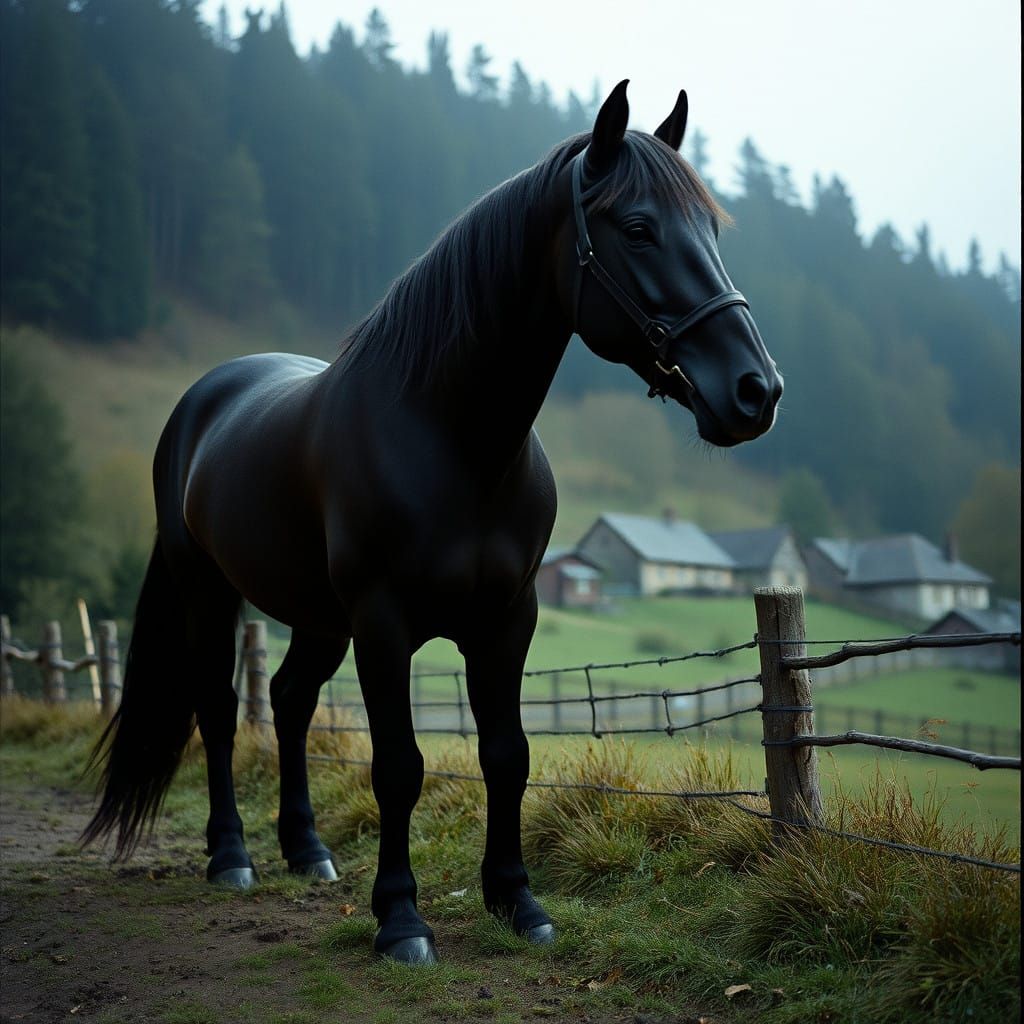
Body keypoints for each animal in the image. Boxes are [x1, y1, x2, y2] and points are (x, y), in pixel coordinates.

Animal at [82, 81, 782, 965]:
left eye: (711, 231)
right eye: (637, 228)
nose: (756, 390)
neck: (453, 438)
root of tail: (202, 402)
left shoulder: (507, 620)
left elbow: (507, 755)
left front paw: (518, 902)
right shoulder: (384, 624)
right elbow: (400, 767)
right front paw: (402, 920)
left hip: (317, 618)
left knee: (287, 699)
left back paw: (306, 850)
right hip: (210, 592)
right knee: (218, 708)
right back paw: (232, 855)